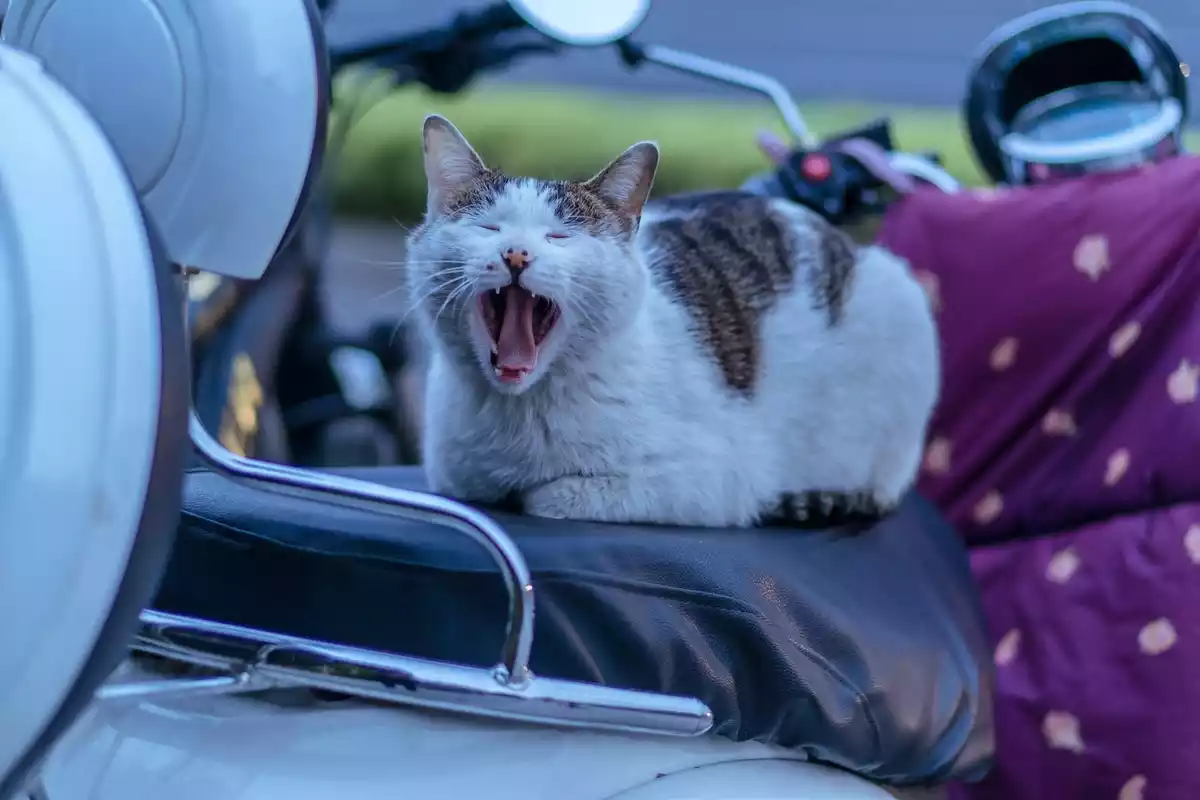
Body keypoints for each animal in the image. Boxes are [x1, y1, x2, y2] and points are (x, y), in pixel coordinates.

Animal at [403, 112, 936, 525]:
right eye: (487, 227)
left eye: (559, 236)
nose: (515, 253)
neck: (520, 413)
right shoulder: (453, 475)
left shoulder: (713, 479)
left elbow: (549, 496)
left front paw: (533, 491)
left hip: (904, 300)